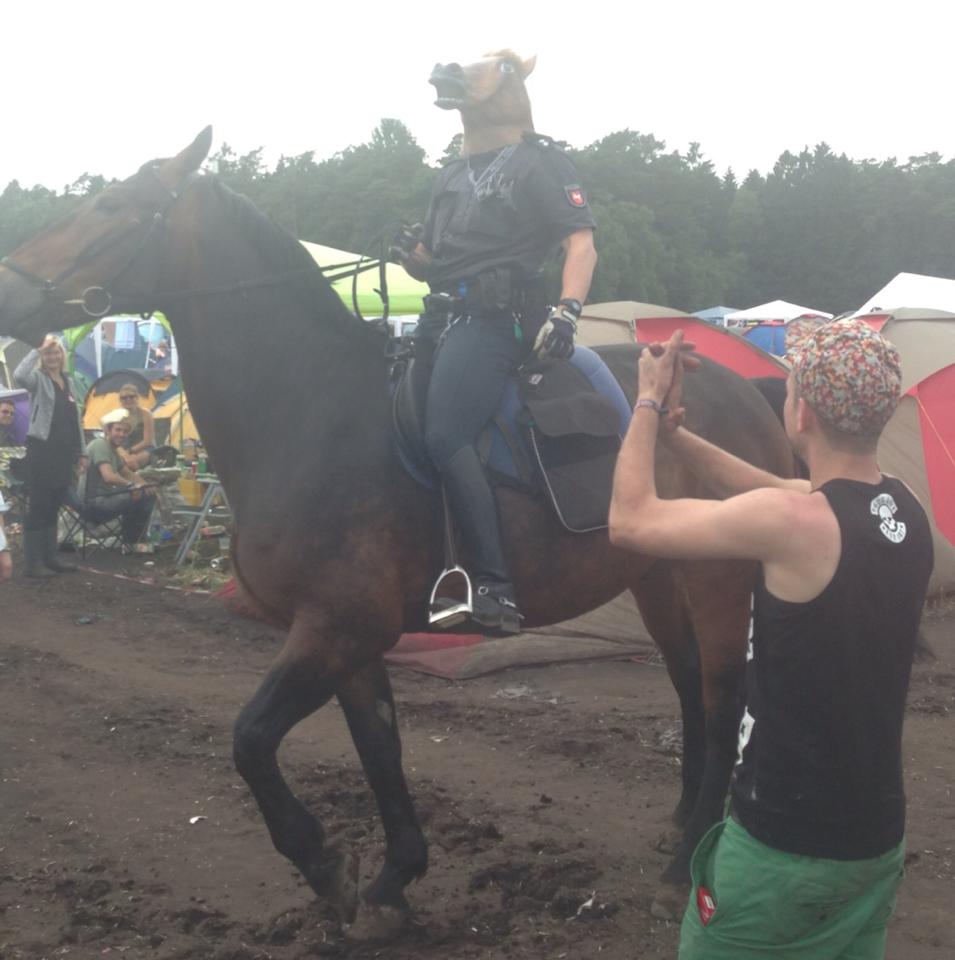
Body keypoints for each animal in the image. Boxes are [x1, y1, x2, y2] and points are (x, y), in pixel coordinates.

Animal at [0, 131, 792, 932]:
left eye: (111, 206)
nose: (10, 292)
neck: (312, 409)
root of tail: (749, 392)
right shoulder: (345, 637)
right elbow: (378, 747)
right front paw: (390, 879)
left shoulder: (336, 626)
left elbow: (250, 739)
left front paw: (325, 863)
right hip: (658, 579)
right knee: (689, 685)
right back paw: (681, 822)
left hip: (718, 582)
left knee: (723, 699)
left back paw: (682, 863)